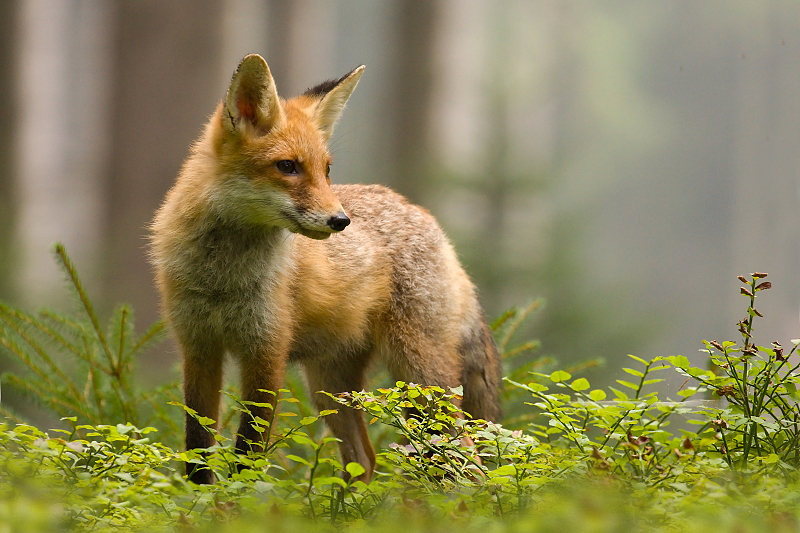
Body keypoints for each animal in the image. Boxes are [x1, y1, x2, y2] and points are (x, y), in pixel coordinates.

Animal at [150, 53, 500, 482]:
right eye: (288, 166)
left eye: (326, 170)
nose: (341, 221)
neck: (221, 277)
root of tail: (429, 220)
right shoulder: (198, 348)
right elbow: (197, 449)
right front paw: (199, 498)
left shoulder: (266, 351)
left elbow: (247, 450)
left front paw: (237, 497)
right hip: (331, 386)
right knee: (365, 461)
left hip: (420, 376)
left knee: (468, 458)